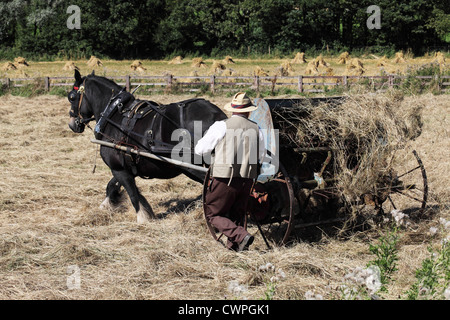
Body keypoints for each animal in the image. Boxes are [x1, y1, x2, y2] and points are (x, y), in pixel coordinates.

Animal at [68, 70, 227, 222]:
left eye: (71, 97)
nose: (72, 124)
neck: (113, 114)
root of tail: (218, 117)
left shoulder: (118, 169)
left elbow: (133, 195)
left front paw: (142, 218)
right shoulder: (125, 167)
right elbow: (112, 186)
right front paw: (105, 206)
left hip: (191, 167)